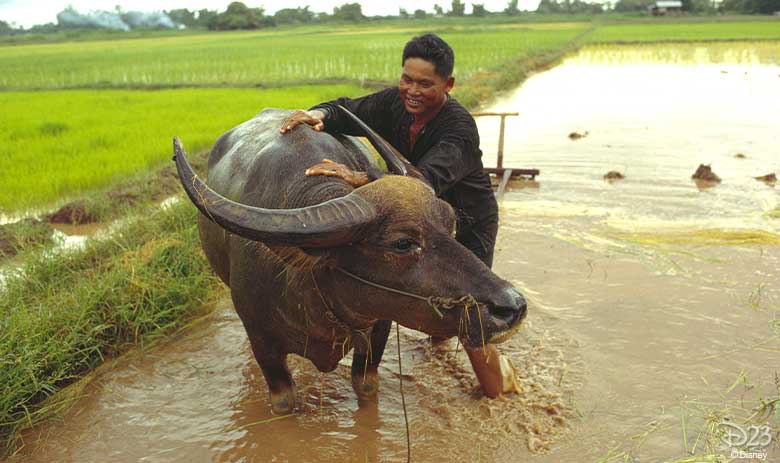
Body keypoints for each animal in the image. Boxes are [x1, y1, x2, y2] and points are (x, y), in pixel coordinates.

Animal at [174, 109, 528, 416]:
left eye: (450, 221)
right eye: (403, 243)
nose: (512, 306)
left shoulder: (378, 330)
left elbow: (366, 386)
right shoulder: (262, 341)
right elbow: (284, 401)